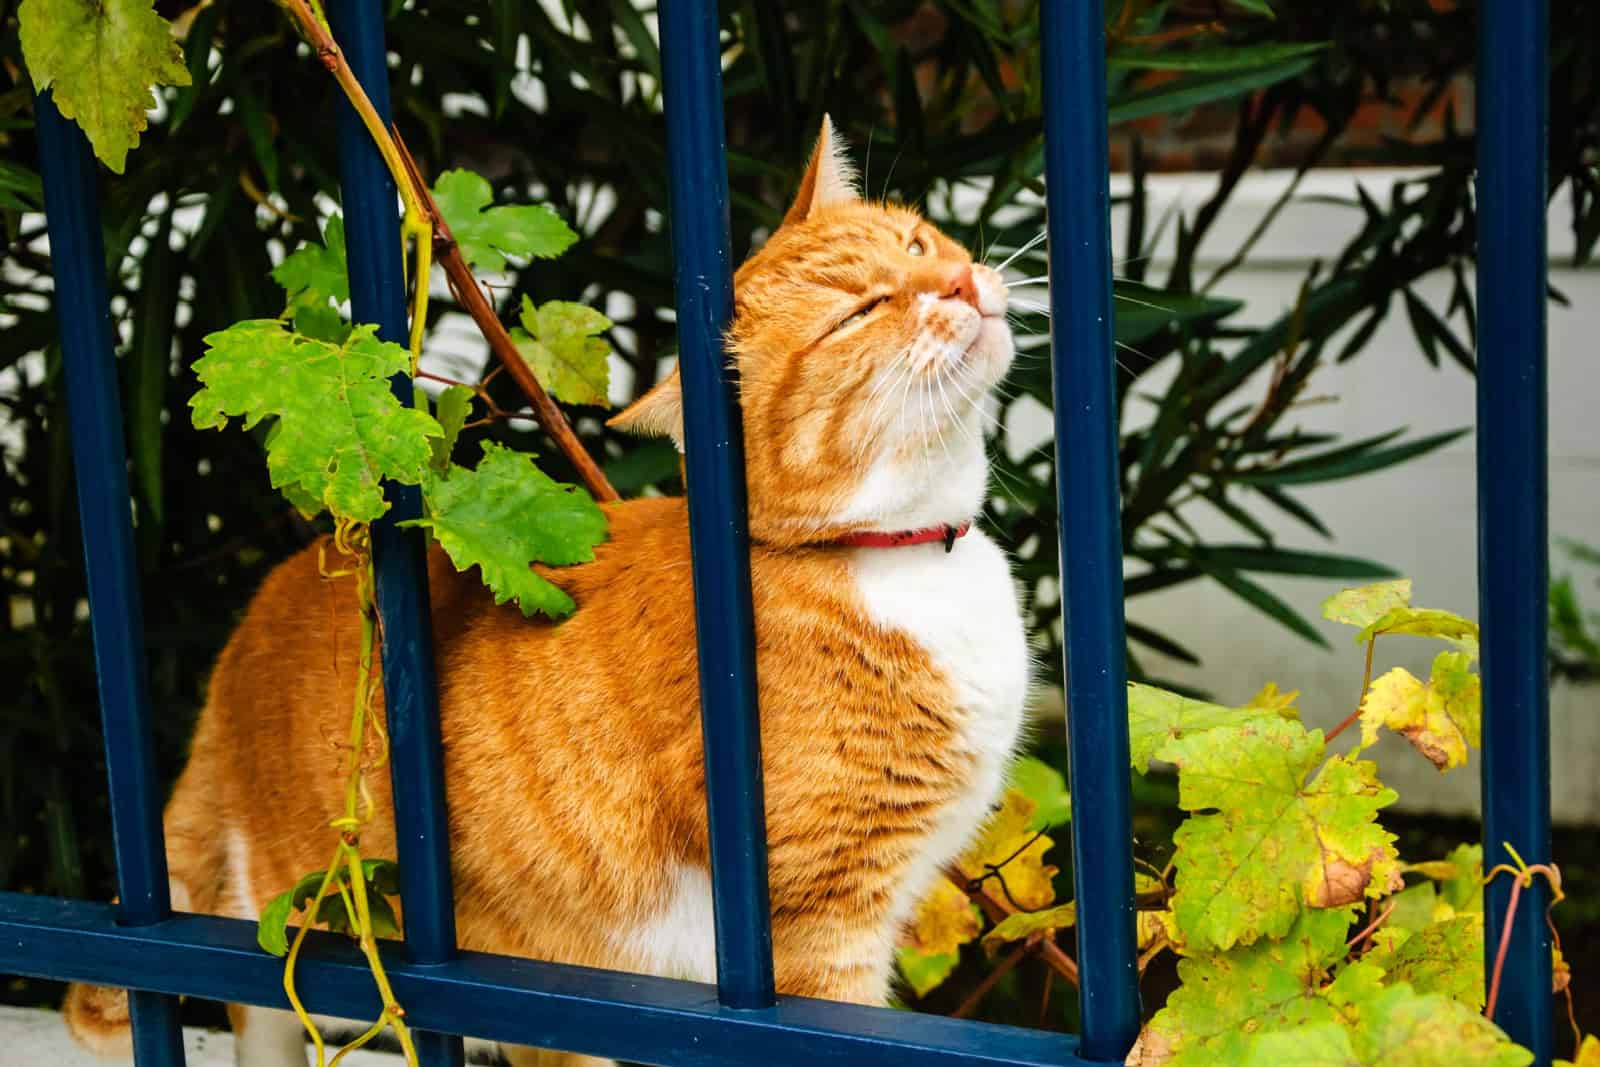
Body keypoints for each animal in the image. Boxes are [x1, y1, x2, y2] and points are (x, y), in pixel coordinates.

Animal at [62, 119, 1024, 1067]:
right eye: (860, 314)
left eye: (916, 244)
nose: (957, 280)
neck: (907, 554)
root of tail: (252, 623)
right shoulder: (819, 933)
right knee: (256, 996)